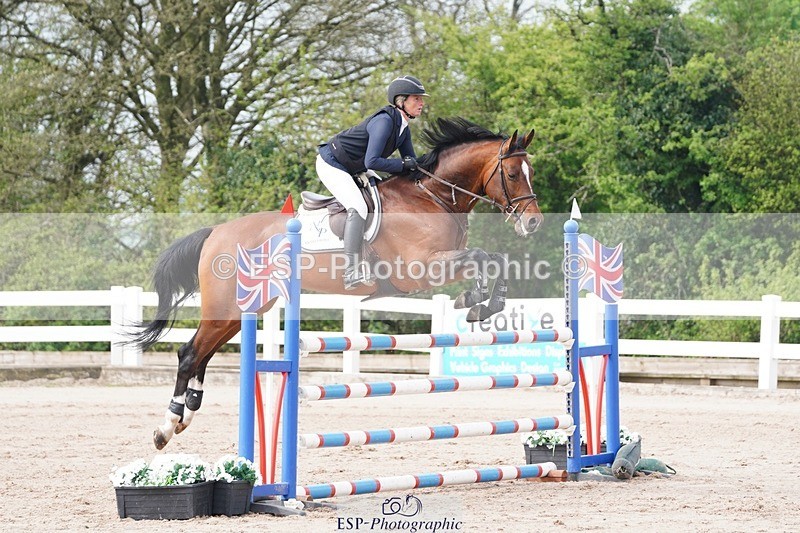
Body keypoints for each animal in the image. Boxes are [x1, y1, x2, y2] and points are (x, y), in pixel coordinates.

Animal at [131, 117, 543, 449]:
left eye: (531, 173)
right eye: (511, 175)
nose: (533, 222)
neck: (435, 198)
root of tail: (216, 231)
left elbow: (495, 259)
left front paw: (481, 303)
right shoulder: (422, 269)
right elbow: (482, 258)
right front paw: (477, 302)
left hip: (243, 309)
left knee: (203, 353)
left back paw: (185, 417)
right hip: (226, 306)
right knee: (190, 353)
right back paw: (166, 427)